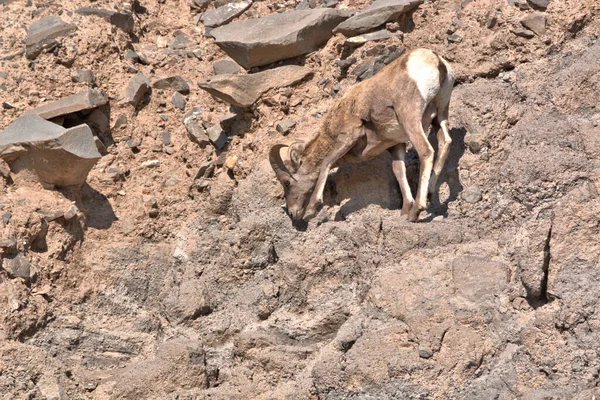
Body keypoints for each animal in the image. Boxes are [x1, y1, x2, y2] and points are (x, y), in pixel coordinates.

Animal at [270, 48, 452, 223]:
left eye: (287, 182)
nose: (293, 214)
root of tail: (435, 59)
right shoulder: (396, 144)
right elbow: (399, 171)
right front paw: (404, 211)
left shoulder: (350, 136)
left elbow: (326, 162)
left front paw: (311, 209)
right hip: (440, 115)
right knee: (446, 142)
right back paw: (428, 196)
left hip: (410, 117)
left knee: (426, 151)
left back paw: (417, 211)